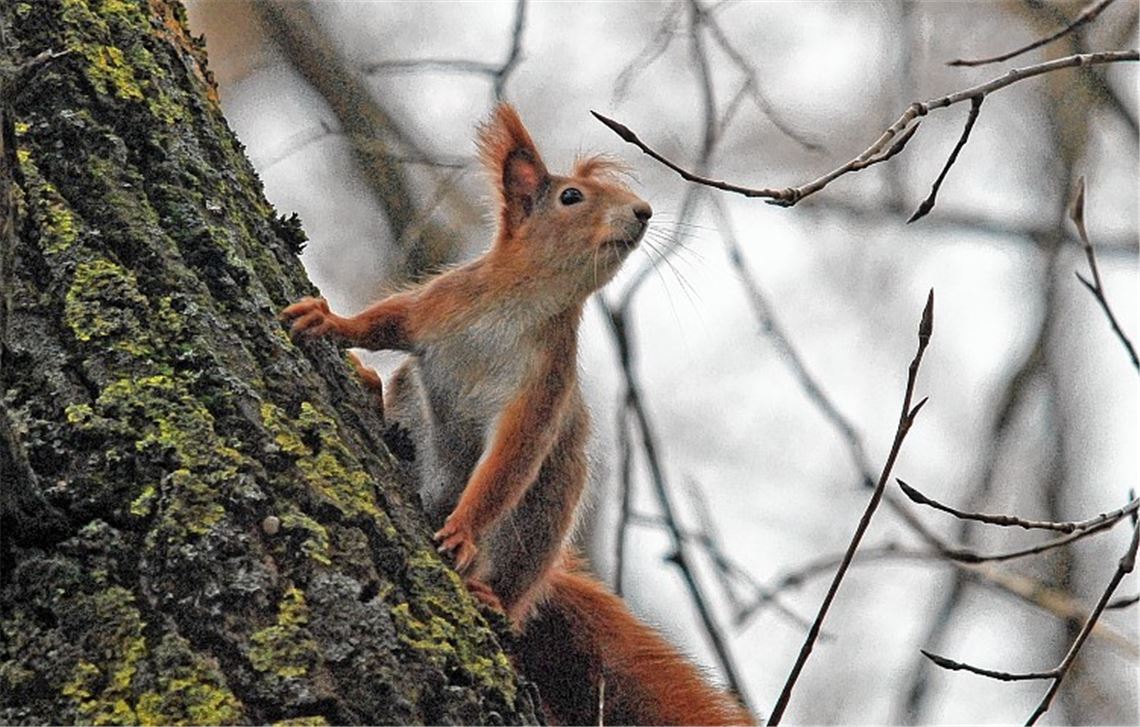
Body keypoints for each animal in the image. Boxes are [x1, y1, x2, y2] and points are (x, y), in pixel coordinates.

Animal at [281, 104, 753, 726]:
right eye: (572, 196)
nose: (643, 211)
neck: (526, 301)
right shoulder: (442, 302)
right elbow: (387, 320)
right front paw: (330, 322)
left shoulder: (544, 388)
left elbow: (509, 462)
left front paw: (463, 528)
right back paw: (371, 390)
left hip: (539, 526)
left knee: (518, 579)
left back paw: (493, 596)